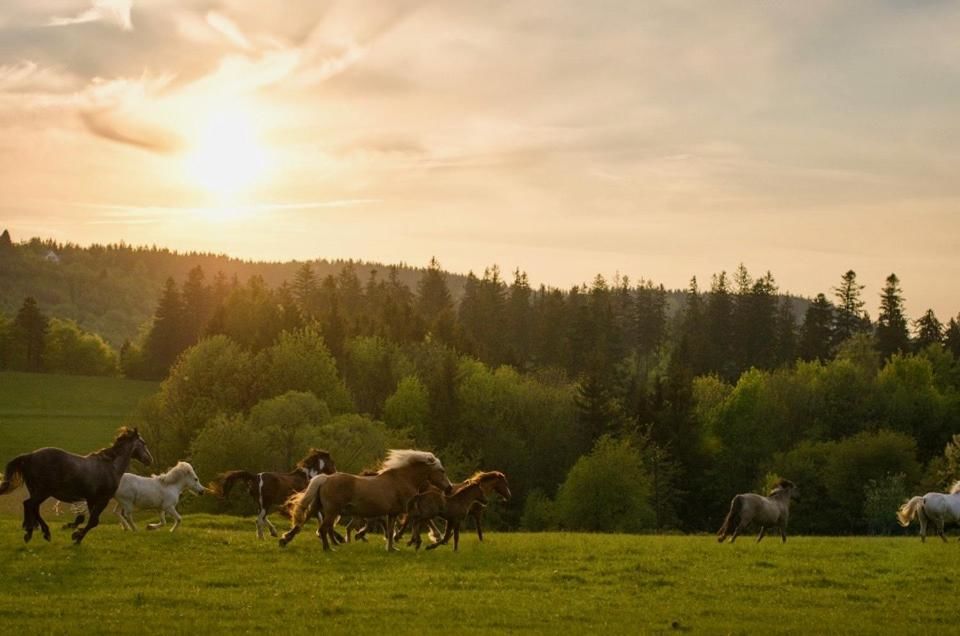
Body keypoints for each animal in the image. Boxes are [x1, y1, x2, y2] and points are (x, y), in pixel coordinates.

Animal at [0, 424, 152, 544]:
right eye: (143, 443)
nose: (150, 460)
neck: (110, 466)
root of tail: (29, 456)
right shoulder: (103, 499)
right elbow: (93, 521)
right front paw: (77, 537)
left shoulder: (92, 499)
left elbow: (90, 520)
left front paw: (75, 532)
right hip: (43, 491)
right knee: (29, 504)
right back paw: (37, 532)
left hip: (36, 491)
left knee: (33, 507)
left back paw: (35, 532)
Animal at [280, 450, 452, 548]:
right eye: (442, 471)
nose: (449, 488)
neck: (403, 479)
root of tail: (325, 478)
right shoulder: (405, 509)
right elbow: (410, 522)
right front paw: (411, 540)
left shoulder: (392, 513)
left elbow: (391, 529)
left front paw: (392, 547)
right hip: (331, 511)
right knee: (323, 528)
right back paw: (329, 548)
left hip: (318, 507)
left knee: (302, 522)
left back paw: (285, 540)